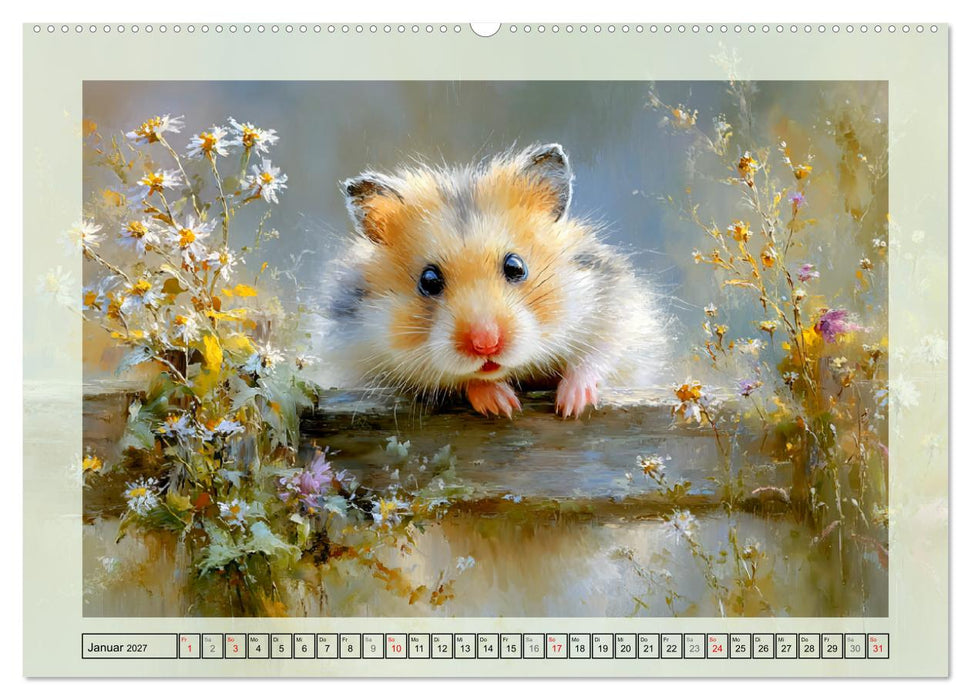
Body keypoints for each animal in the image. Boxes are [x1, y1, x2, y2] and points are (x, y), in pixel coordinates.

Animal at [315, 143, 667, 418]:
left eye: (516, 266)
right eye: (428, 280)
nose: (486, 344)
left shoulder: (616, 308)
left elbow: (598, 355)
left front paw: (571, 405)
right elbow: (453, 378)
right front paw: (503, 405)